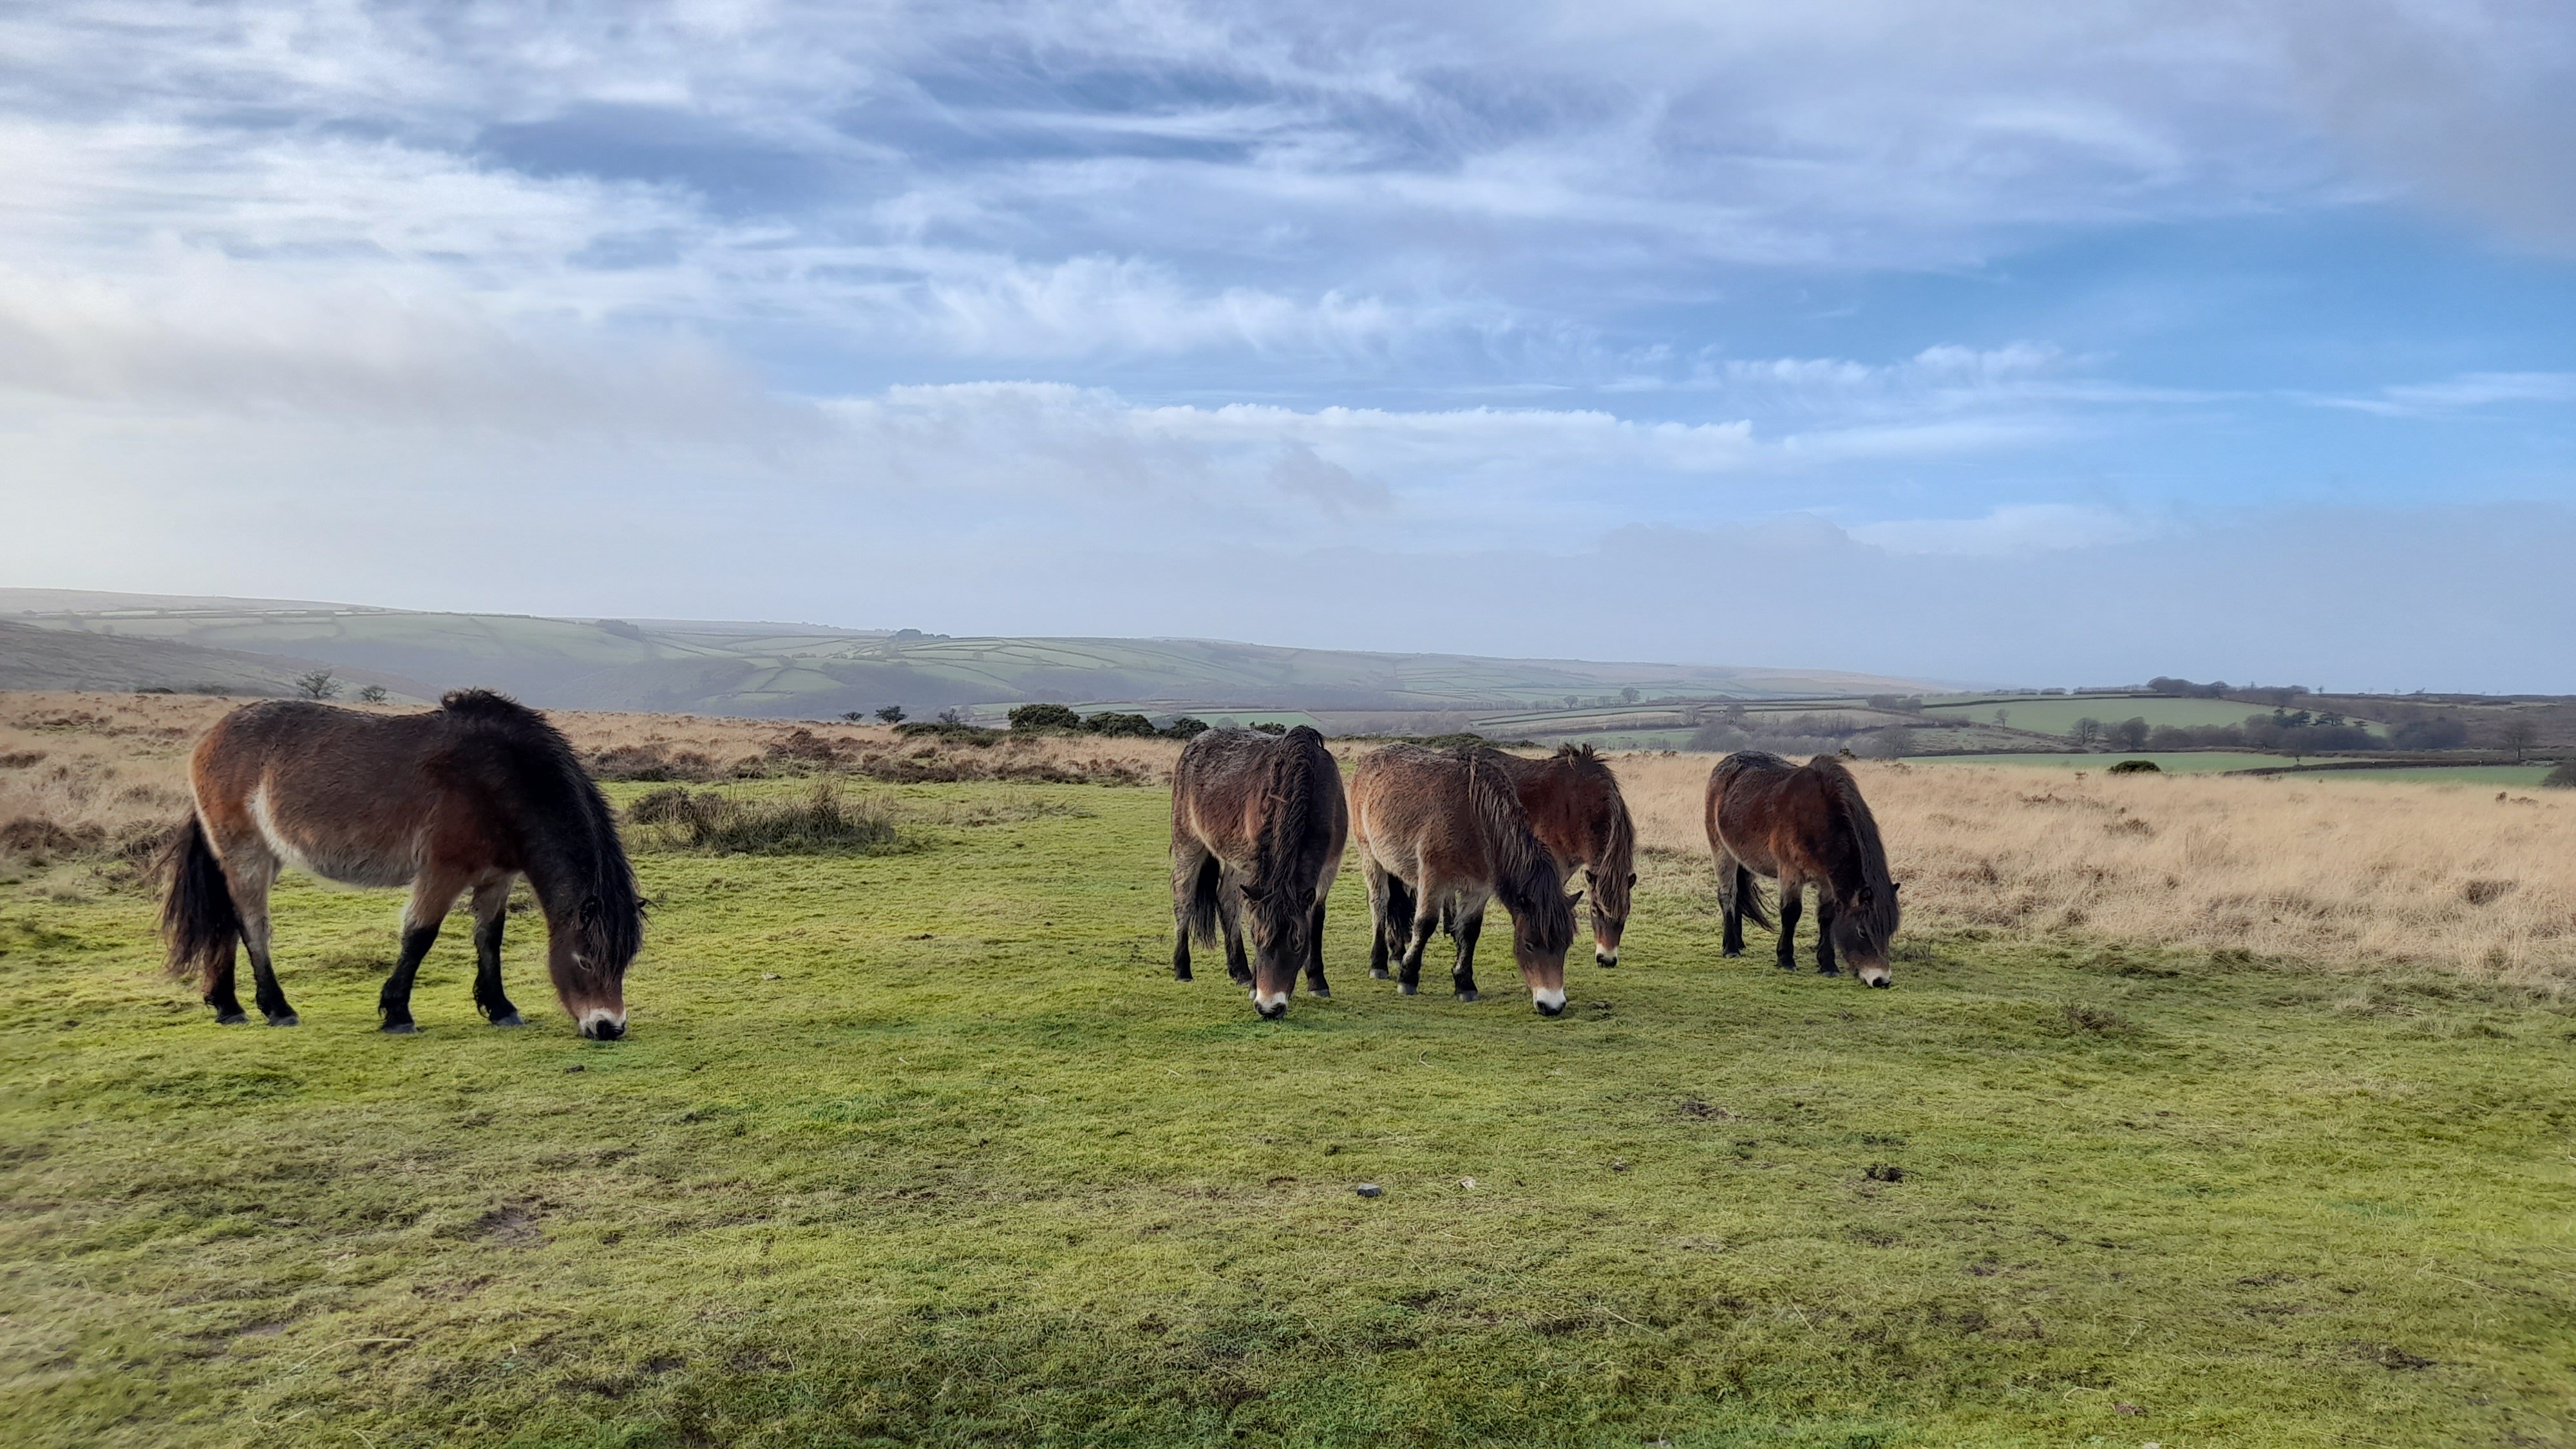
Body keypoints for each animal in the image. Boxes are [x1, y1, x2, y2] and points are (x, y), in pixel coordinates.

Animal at [159, 690, 645, 1038]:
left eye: (624, 962)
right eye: (585, 960)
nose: (609, 1027)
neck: (501, 780)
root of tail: (209, 739)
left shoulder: (497, 878)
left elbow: (490, 939)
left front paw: (501, 1008)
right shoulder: (442, 872)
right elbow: (419, 936)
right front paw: (397, 1013)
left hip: (262, 855)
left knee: (225, 920)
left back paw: (228, 1006)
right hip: (247, 854)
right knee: (251, 924)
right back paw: (277, 1009)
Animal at [1168, 725, 1347, 1019]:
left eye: (1297, 942)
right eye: (1257, 938)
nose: (1269, 1008)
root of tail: (1194, 744)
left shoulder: (1327, 872)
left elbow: (1317, 920)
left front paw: (1317, 981)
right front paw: (1255, 984)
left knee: (1226, 899)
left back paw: (1239, 970)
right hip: (1189, 843)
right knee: (1184, 899)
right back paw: (1183, 968)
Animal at [1350, 743, 1580, 1015]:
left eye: (1566, 945)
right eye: (1529, 944)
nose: (1552, 1006)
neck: (1476, 817)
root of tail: (1368, 760)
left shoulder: (1479, 889)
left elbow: (1470, 930)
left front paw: (1464, 983)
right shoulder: (1433, 879)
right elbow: (1425, 924)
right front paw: (1408, 978)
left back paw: (1397, 954)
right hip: (1370, 856)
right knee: (1380, 905)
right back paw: (1379, 963)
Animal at [1703, 750, 1899, 987]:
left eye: (1889, 932)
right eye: (1862, 931)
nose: (1882, 980)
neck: (1818, 818)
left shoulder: (1826, 881)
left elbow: (1827, 917)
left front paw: (1828, 965)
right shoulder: (1791, 873)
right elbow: (1791, 912)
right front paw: (1786, 959)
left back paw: (1739, 942)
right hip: (1723, 852)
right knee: (1728, 895)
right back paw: (1731, 948)